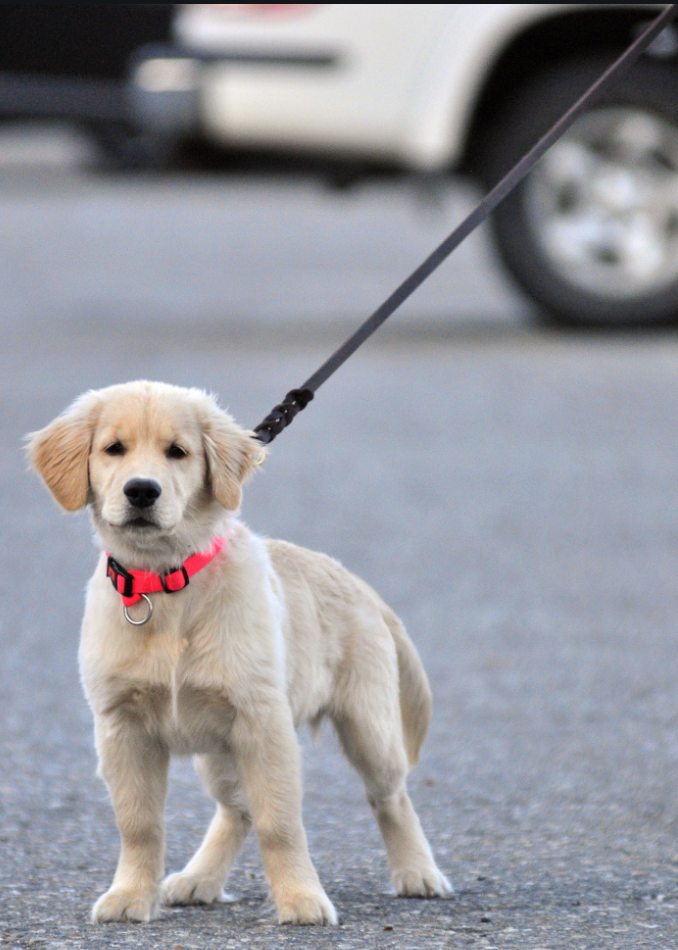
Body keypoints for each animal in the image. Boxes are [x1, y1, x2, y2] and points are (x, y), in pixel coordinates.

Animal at [27, 384, 452, 924]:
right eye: (113, 449)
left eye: (178, 452)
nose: (142, 491)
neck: (166, 583)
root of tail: (358, 583)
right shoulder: (121, 726)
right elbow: (139, 825)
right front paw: (130, 895)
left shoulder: (263, 722)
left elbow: (280, 822)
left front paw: (301, 898)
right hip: (217, 751)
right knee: (237, 809)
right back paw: (198, 879)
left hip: (367, 726)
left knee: (390, 797)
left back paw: (418, 872)